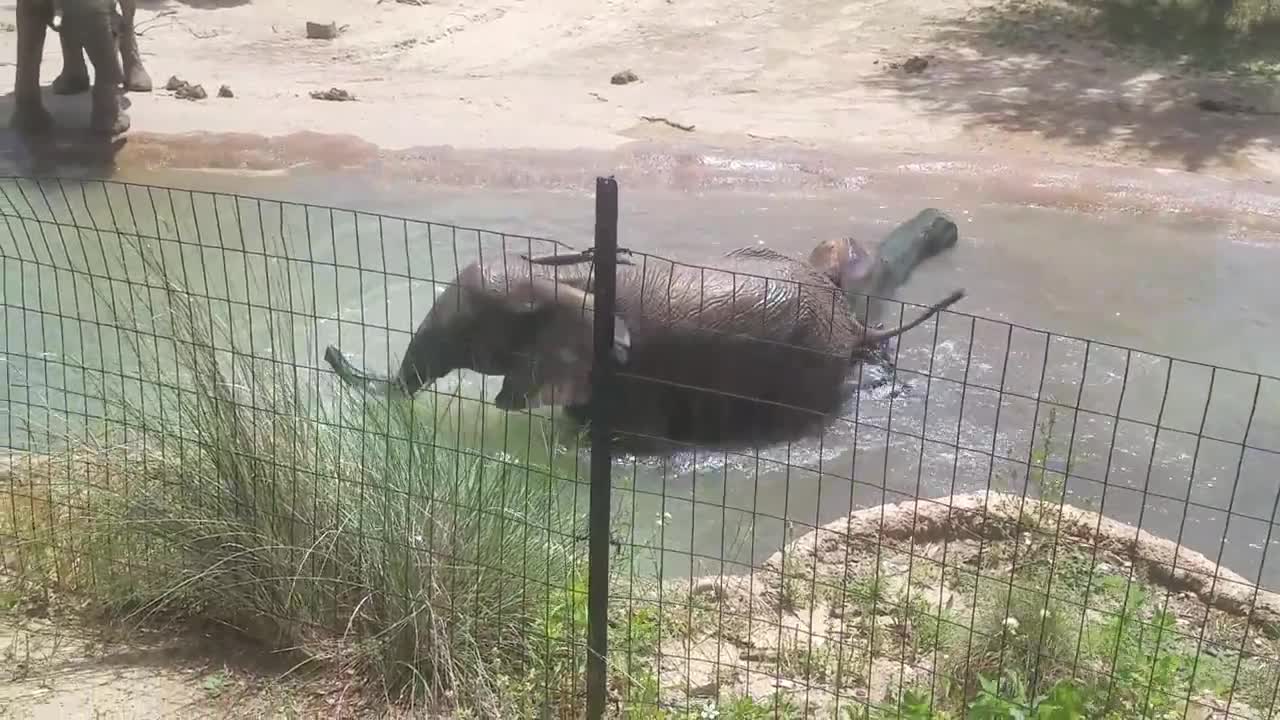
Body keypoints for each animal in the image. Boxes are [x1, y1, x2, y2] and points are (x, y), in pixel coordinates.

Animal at [325, 207, 962, 448]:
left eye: (469, 337)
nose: (331, 351)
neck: (567, 280)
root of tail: (849, 321)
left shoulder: (638, 371)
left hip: (805, 367)